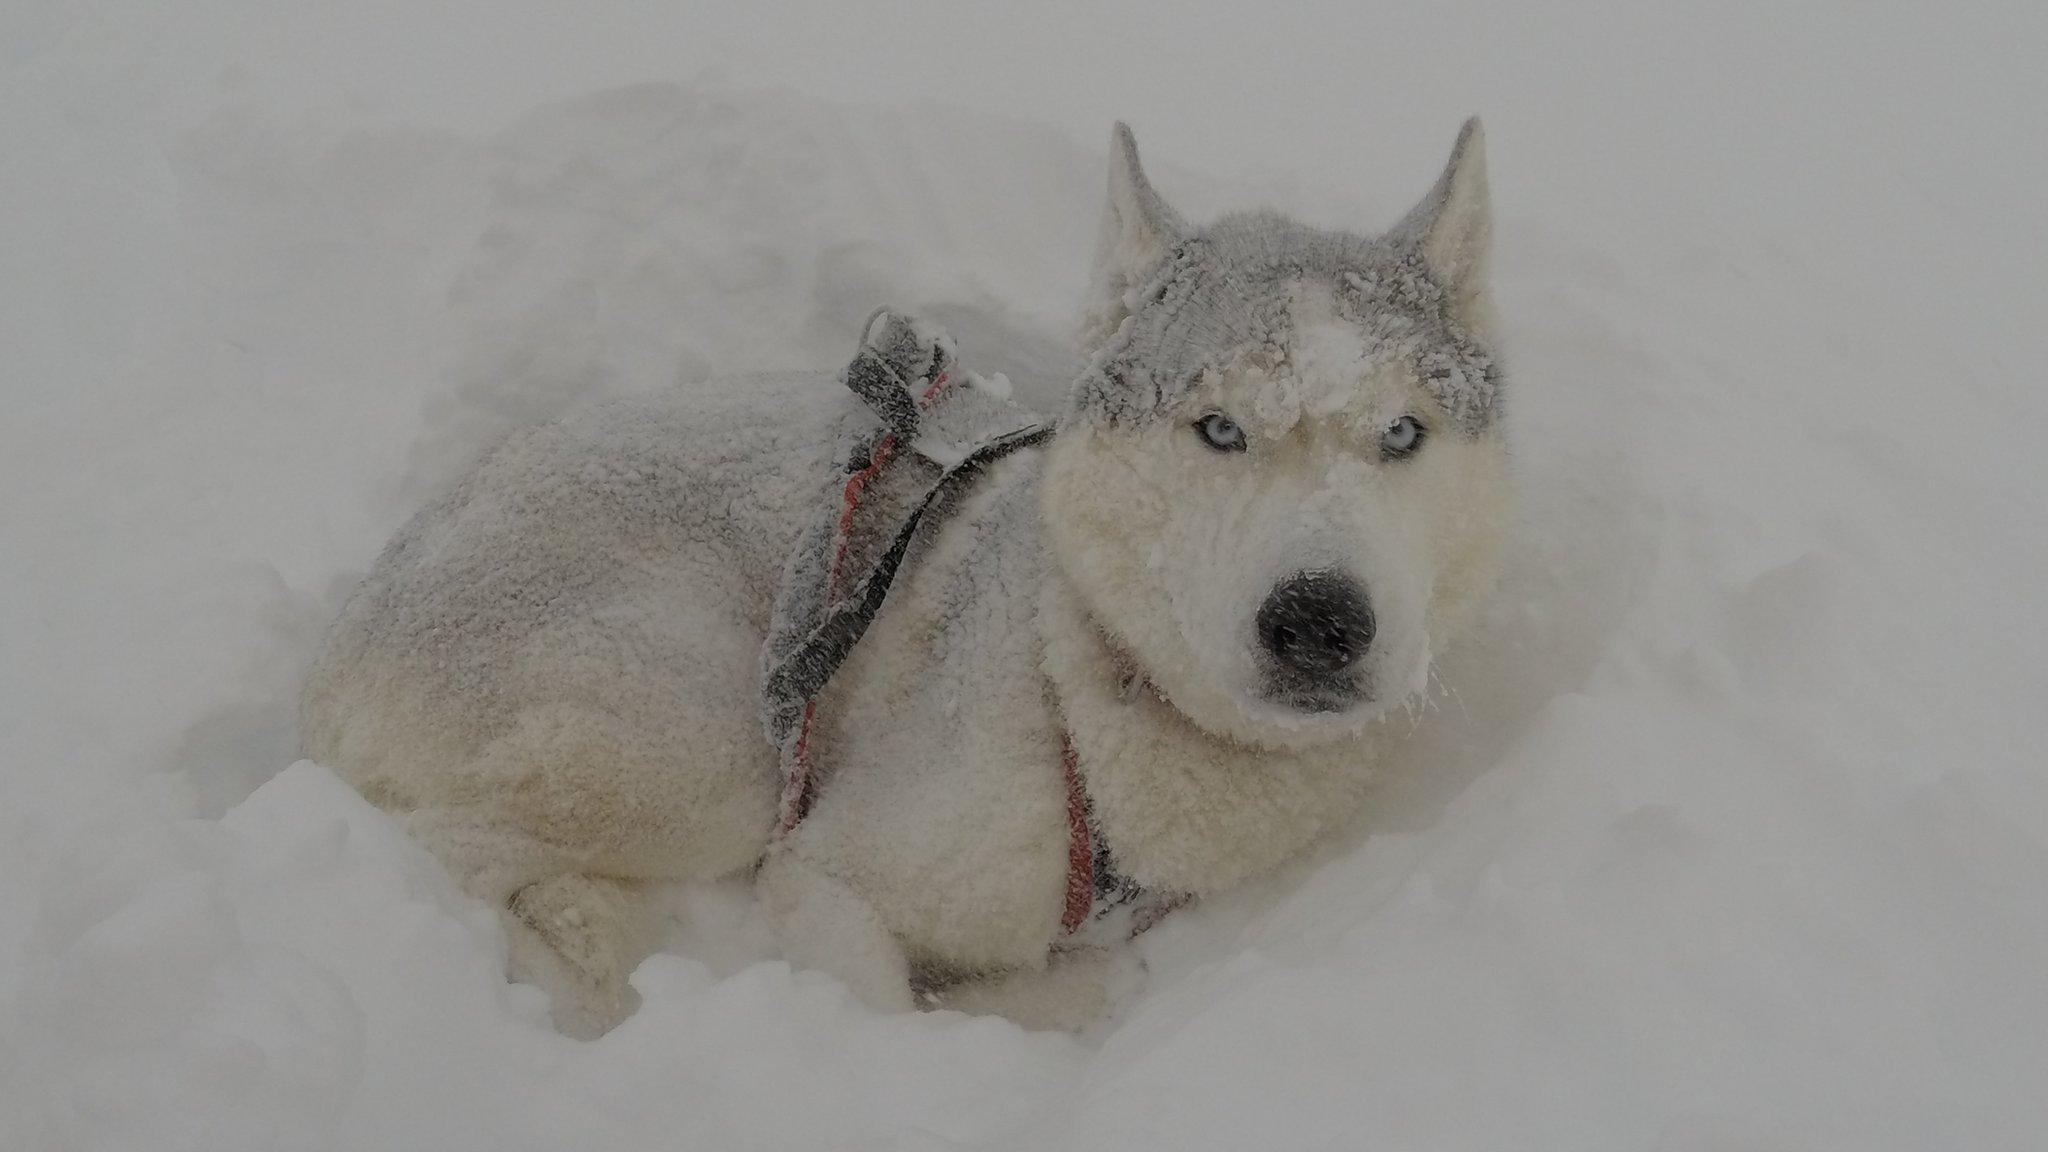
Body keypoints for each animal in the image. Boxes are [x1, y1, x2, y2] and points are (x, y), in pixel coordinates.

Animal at [307, 118, 1523, 1033]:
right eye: (1218, 429)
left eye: (1401, 435)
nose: (1319, 619)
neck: (1080, 685)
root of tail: (355, 620)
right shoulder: (821, 873)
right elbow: (884, 1003)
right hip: (713, 750)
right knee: (444, 845)